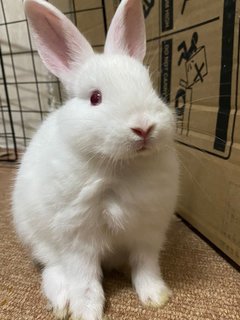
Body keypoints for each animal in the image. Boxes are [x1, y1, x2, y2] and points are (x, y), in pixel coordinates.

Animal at [12, 0, 178, 320]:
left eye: (151, 88)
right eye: (95, 98)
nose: (143, 127)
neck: (120, 166)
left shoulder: (148, 230)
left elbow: (146, 266)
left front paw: (156, 297)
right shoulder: (78, 235)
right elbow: (85, 278)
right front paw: (86, 312)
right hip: (38, 237)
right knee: (53, 268)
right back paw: (61, 303)